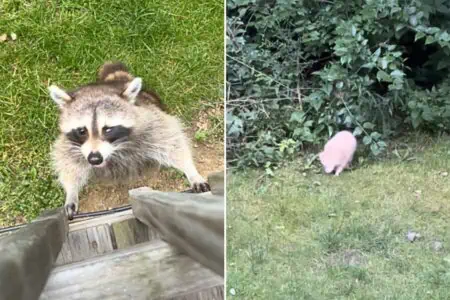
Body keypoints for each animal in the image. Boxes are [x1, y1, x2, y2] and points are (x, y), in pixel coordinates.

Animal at [49, 62, 211, 219]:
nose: (94, 159)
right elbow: (68, 160)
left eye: (108, 129)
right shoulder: (71, 143)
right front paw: (71, 191)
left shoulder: (148, 121)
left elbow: (171, 140)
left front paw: (191, 170)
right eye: (82, 131)